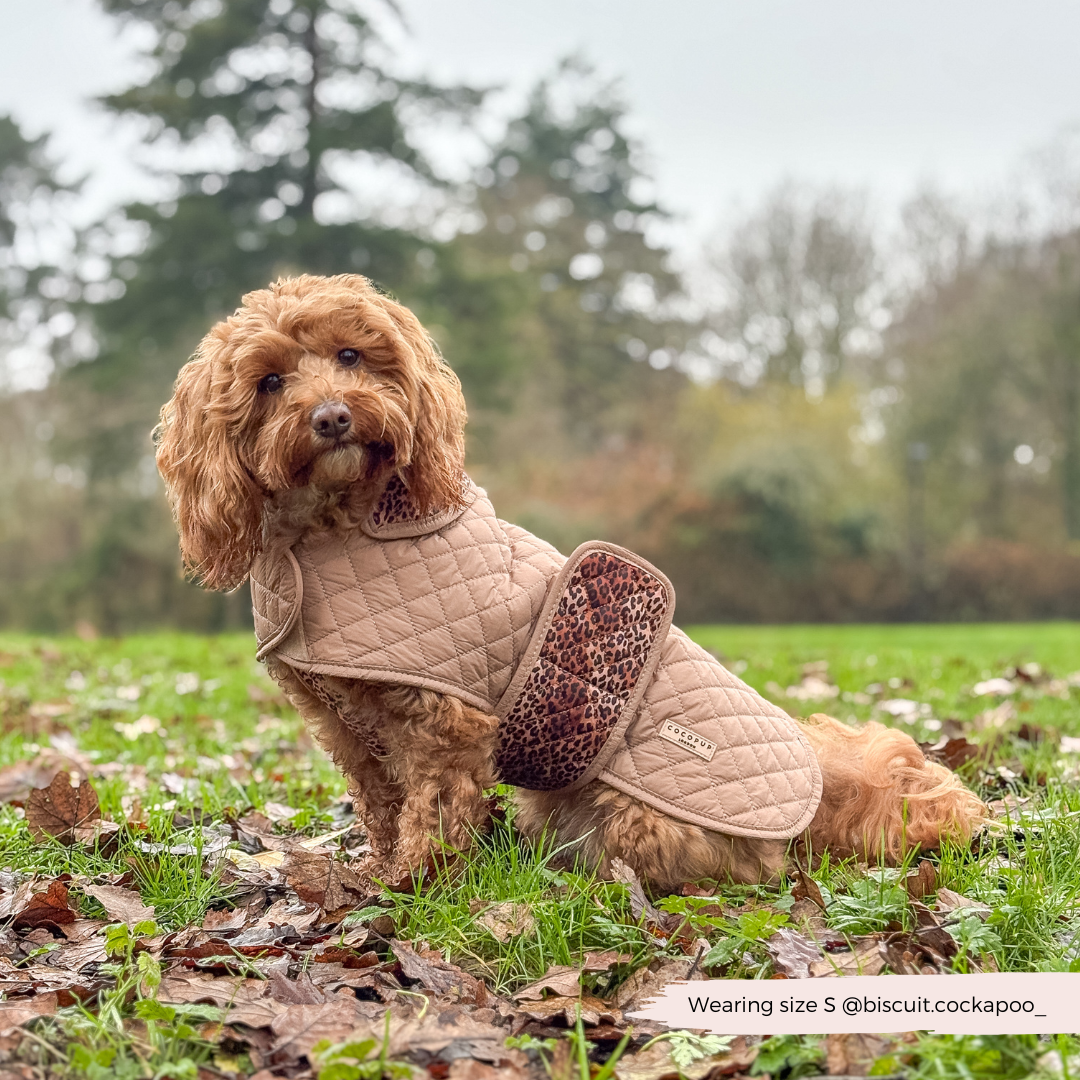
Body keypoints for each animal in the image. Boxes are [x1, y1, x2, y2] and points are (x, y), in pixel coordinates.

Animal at [154, 272, 989, 894]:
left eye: (353, 356)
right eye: (269, 381)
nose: (331, 417)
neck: (336, 526)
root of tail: (818, 799)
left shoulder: (445, 721)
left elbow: (433, 807)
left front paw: (420, 883)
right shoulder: (347, 728)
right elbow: (383, 804)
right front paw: (382, 870)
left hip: (629, 815)